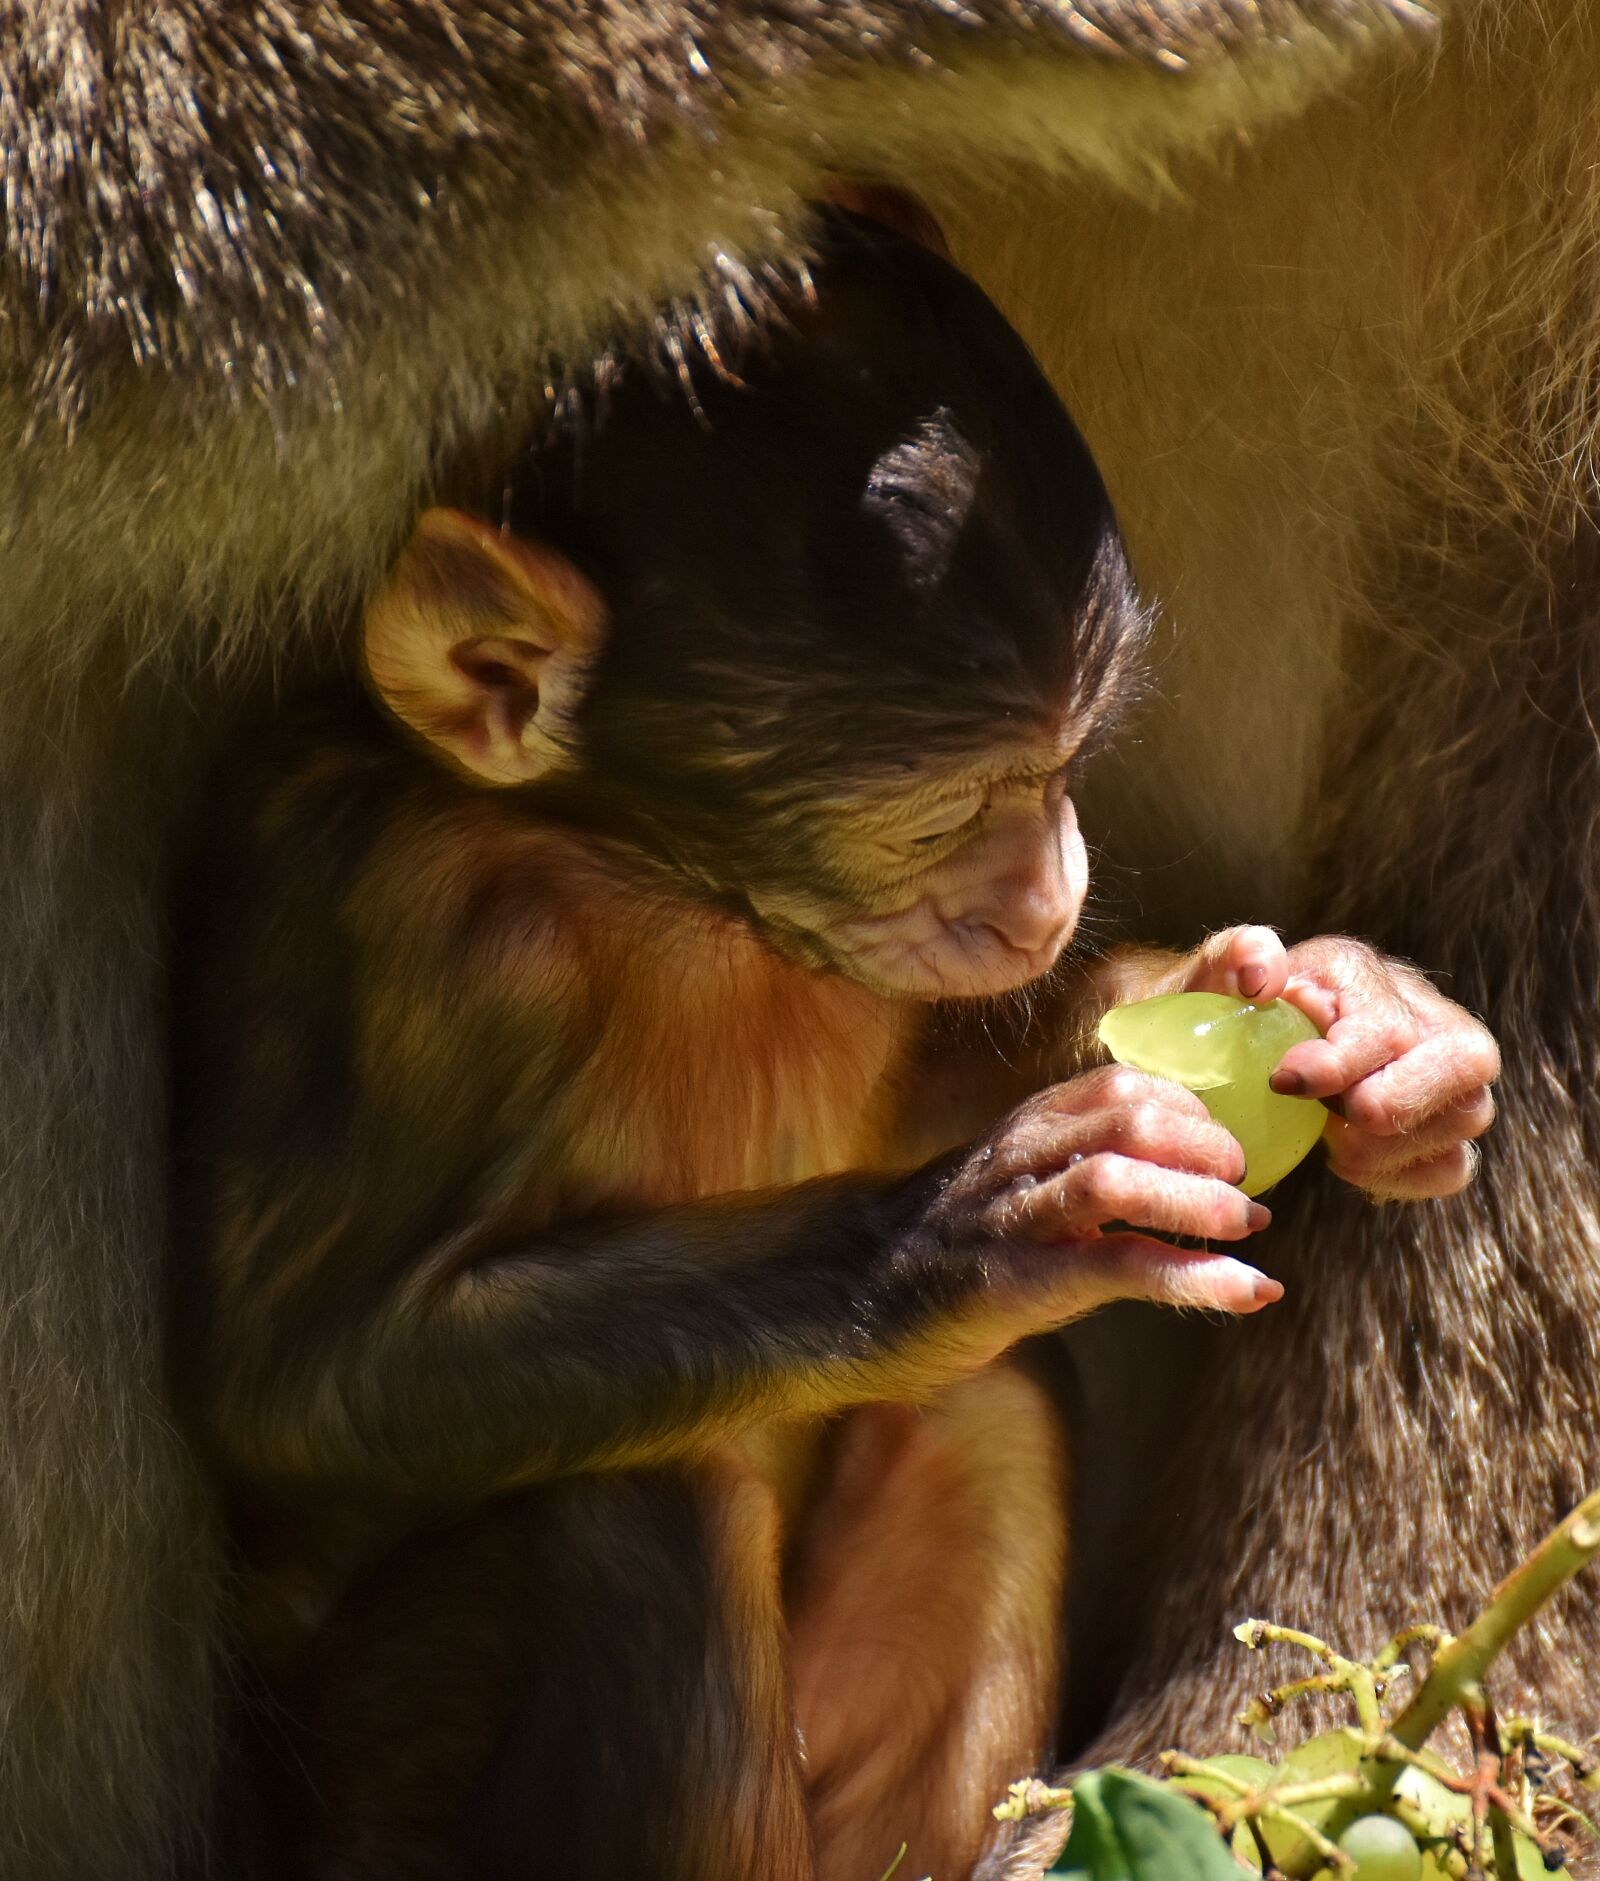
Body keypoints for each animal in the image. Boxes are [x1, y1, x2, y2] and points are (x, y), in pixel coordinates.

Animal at [3, 6, 1600, 1880]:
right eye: (959, 805)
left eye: (1068, 765)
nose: (1050, 890)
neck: (656, 875)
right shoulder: (396, 927)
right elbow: (290, 1380)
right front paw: (968, 1233)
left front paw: (1364, 1021)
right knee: (632, 1526)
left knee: (981, 1427)